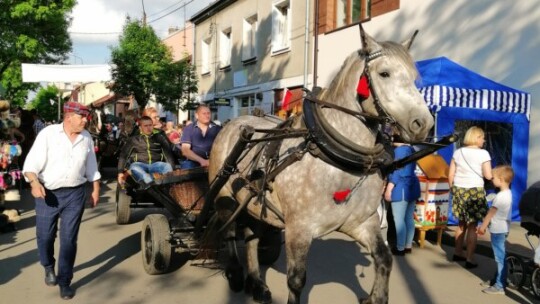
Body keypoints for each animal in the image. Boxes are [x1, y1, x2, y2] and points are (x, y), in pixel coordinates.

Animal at [207, 26, 434, 304]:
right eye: (384, 73)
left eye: (414, 77)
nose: (424, 124)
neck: (337, 161)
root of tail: (234, 122)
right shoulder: (299, 229)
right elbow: (296, 280)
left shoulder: (362, 222)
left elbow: (384, 259)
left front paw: (374, 297)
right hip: (224, 197)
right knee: (229, 232)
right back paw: (236, 274)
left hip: (254, 204)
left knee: (251, 237)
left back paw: (257, 284)